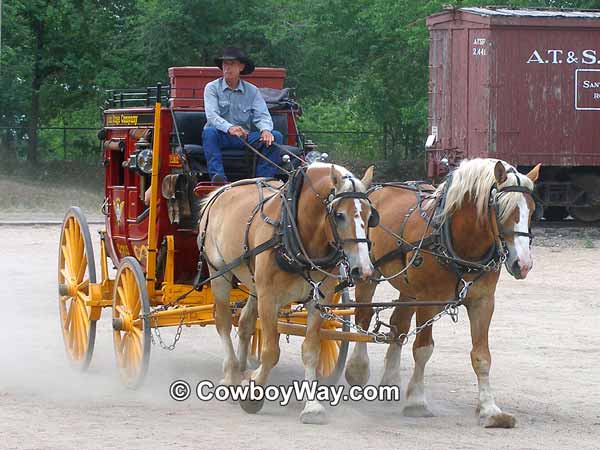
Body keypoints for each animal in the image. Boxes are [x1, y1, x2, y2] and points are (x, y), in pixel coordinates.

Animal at [197, 163, 376, 424]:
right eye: (339, 215)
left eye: (370, 216)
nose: (363, 269)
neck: (295, 232)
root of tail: (220, 191)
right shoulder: (269, 298)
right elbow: (271, 351)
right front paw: (253, 394)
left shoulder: (318, 300)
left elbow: (311, 351)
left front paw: (312, 405)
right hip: (220, 273)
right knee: (223, 322)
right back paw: (231, 375)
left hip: (254, 284)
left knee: (245, 323)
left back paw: (240, 370)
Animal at [344, 159, 540, 428]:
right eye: (502, 209)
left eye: (532, 209)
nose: (523, 264)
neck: (460, 242)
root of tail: (373, 191)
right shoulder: (428, 300)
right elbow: (423, 349)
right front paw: (417, 401)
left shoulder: (483, 302)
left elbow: (482, 356)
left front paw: (489, 409)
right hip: (367, 273)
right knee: (363, 320)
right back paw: (357, 370)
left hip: (408, 289)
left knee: (399, 326)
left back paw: (390, 380)